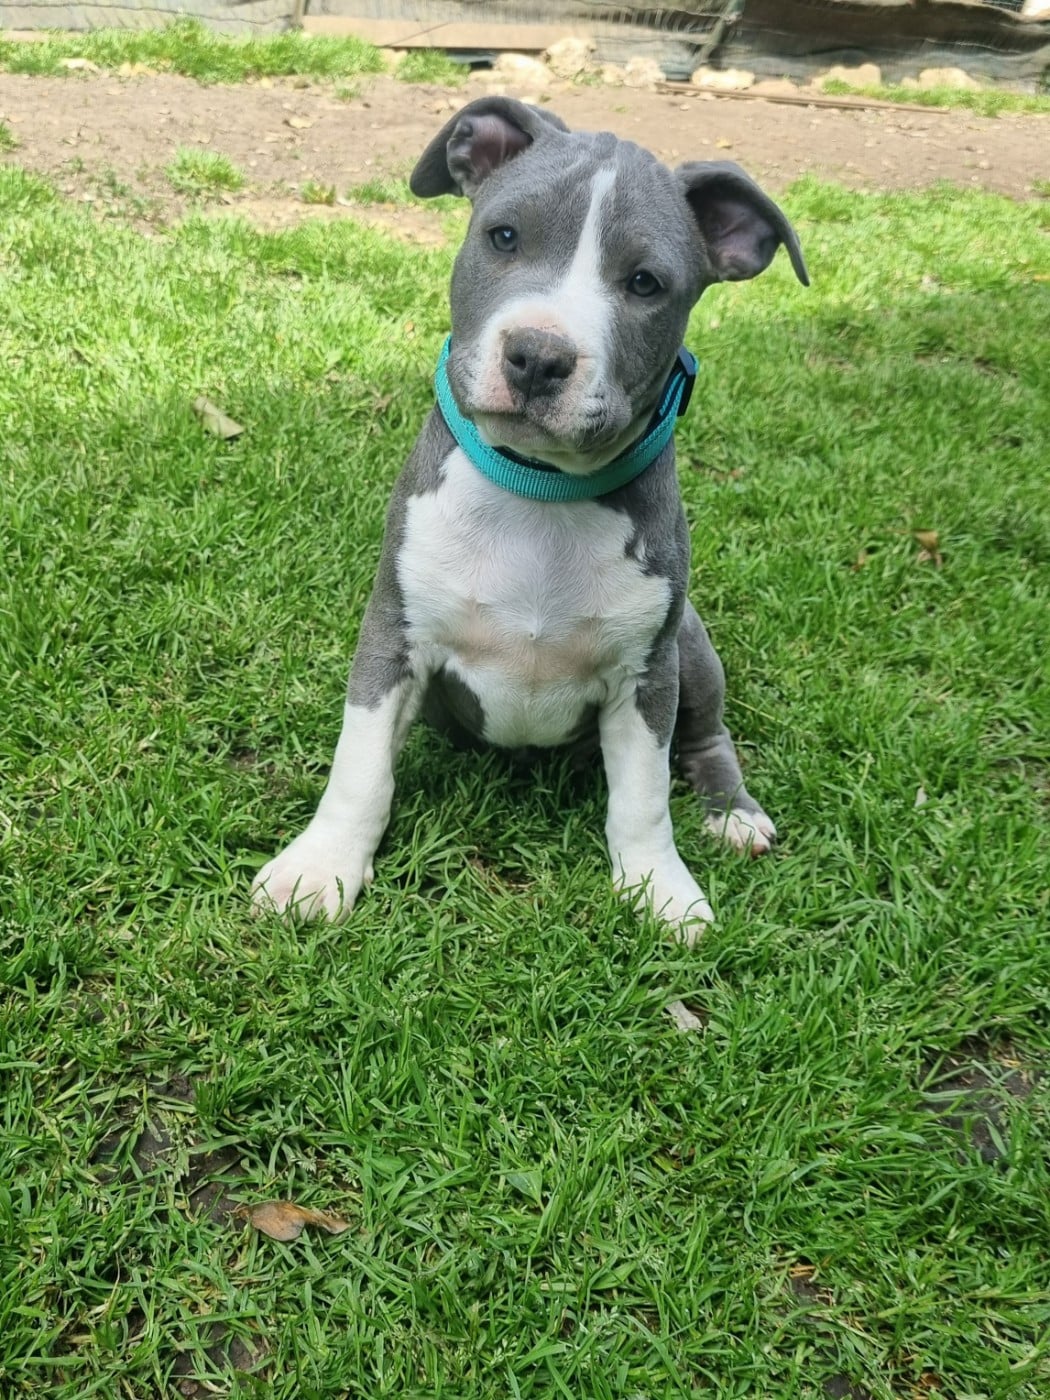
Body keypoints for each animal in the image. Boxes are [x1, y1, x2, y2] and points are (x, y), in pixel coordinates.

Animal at [252, 98, 807, 942]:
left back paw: (732, 813)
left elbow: (643, 796)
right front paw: (321, 867)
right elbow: (361, 766)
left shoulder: (647, 674)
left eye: (645, 283)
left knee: (708, 734)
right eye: (504, 236)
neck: (540, 492)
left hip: (691, 643)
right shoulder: (393, 636)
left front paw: (661, 887)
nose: (539, 355)